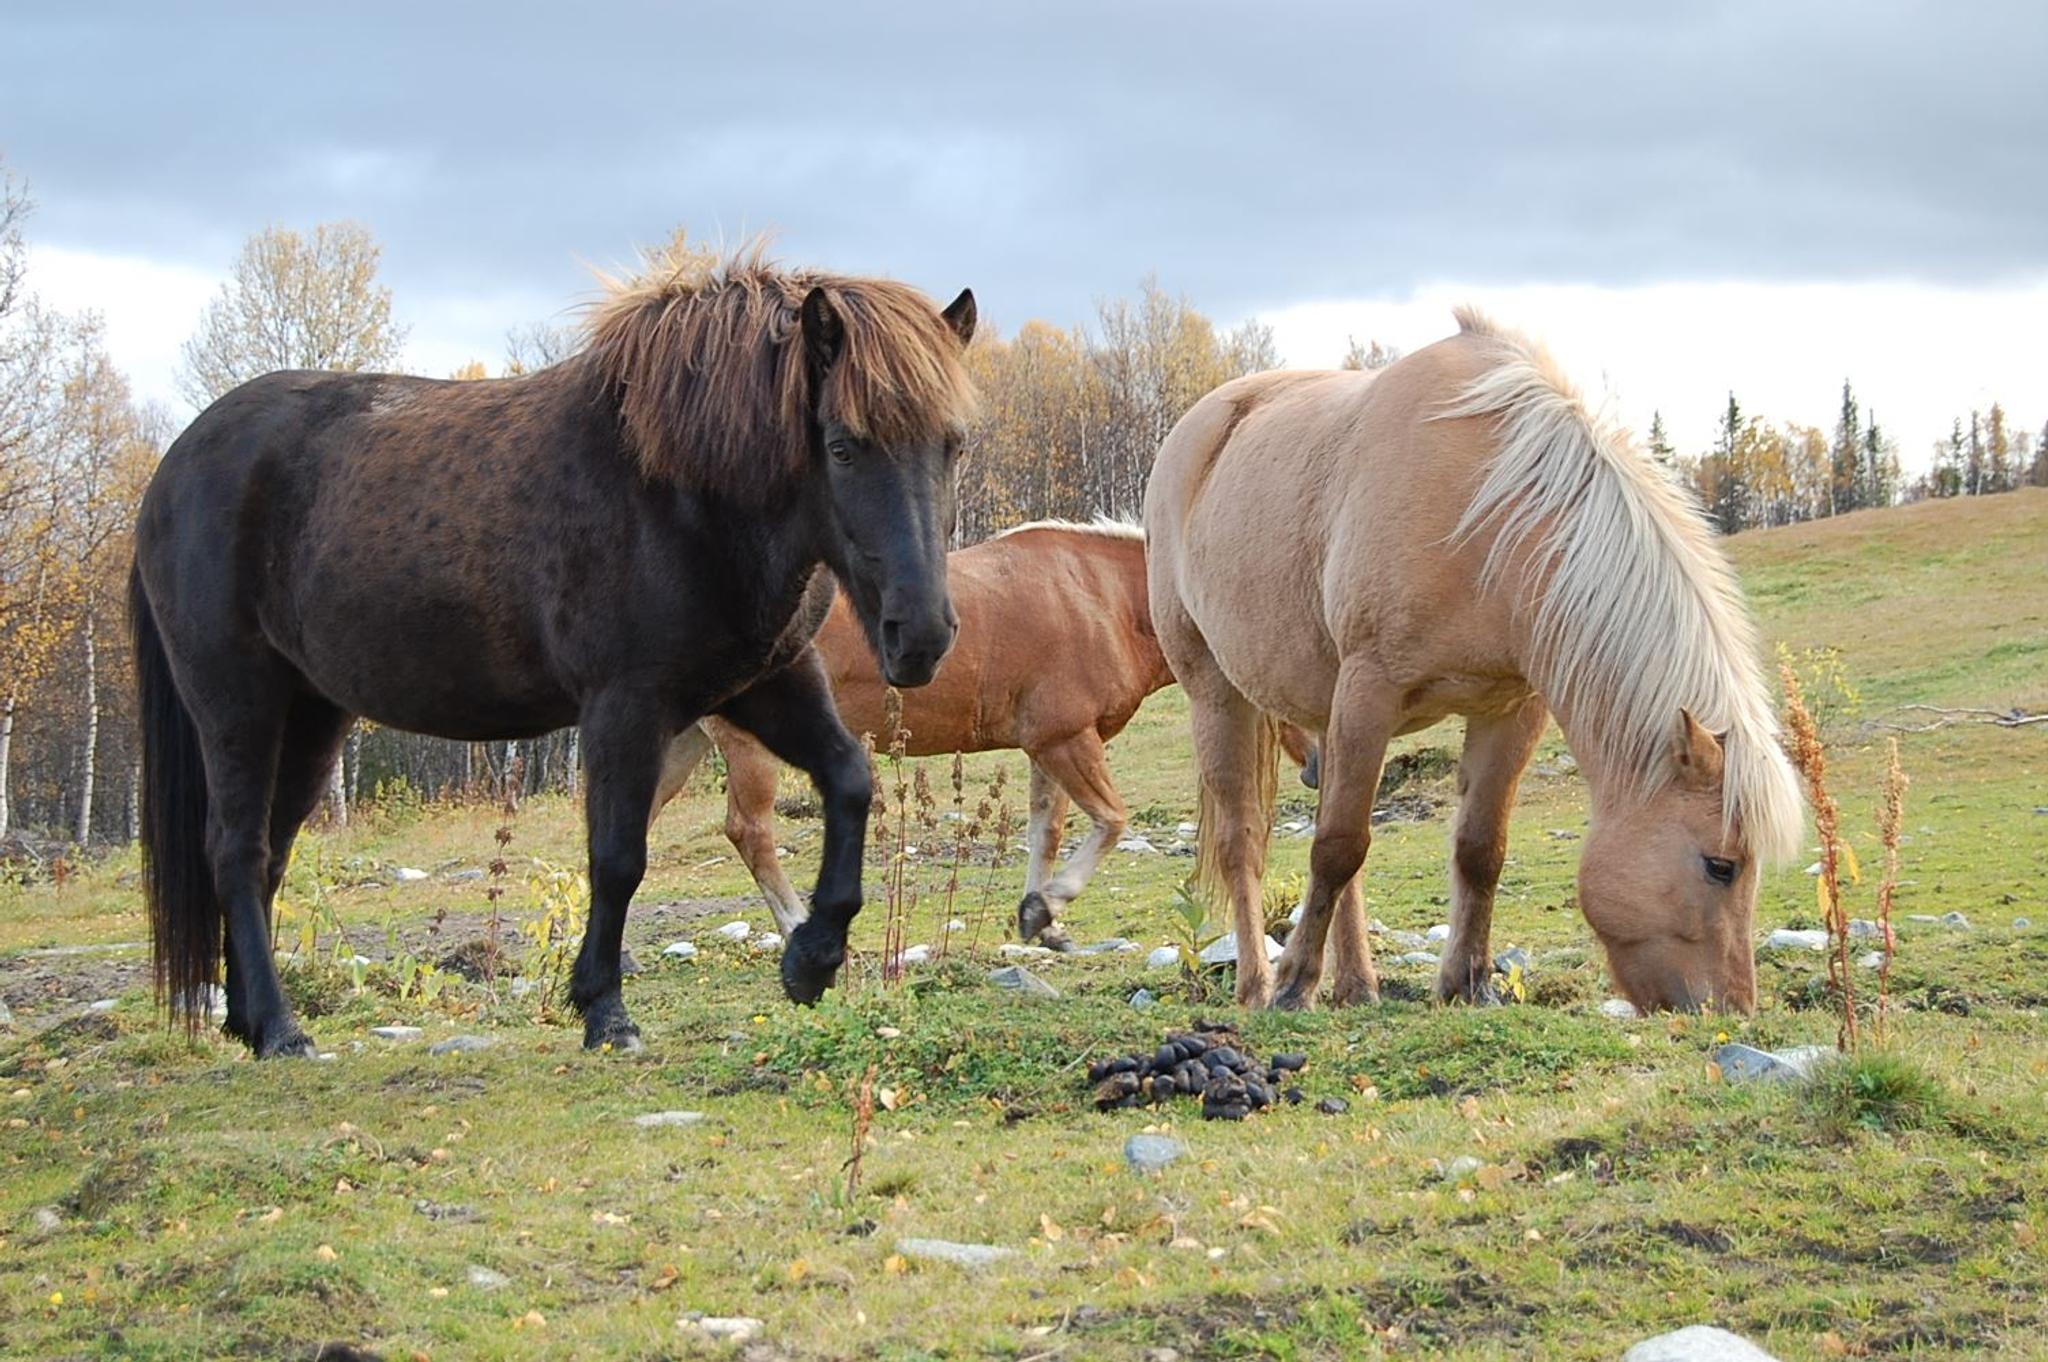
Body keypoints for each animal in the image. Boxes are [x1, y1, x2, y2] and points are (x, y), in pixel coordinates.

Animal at [131, 241, 977, 1056]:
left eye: (953, 445)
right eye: (842, 446)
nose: (920, 635)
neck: (680, 490)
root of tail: (172, 467)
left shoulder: (768, 682)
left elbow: (850, 780)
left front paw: (812, 958)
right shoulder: (624, 705)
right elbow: (618, 857)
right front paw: (605, 1012)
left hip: (310, 715)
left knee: (270, 853)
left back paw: (249, 1022)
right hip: (236, 703)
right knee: (236, 851)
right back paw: (281, 1030)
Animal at [650, 520, 1320, 944]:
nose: (1319, 763)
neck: (1100, 599)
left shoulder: (1046, 746)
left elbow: (1045, 833)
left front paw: (1043, 921)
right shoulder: (1067, 739)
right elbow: (1111, 821)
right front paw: (1049, 904)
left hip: (683, 744)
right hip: (747, 750)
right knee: (751, 833)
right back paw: (795, 929)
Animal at [1144, 308, 1803, 1013]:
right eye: (1721, 866)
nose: (1731, 1008)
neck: (1488, 515)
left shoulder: (1511, 708)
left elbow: (1479, 850)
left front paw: (1469, 982)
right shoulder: (1370, 689)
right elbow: (1339, 847)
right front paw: (1293, 985)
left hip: (1325, 709)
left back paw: (1356, 984)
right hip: (1218, 695)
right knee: (1242, 841)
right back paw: (1257, 983)